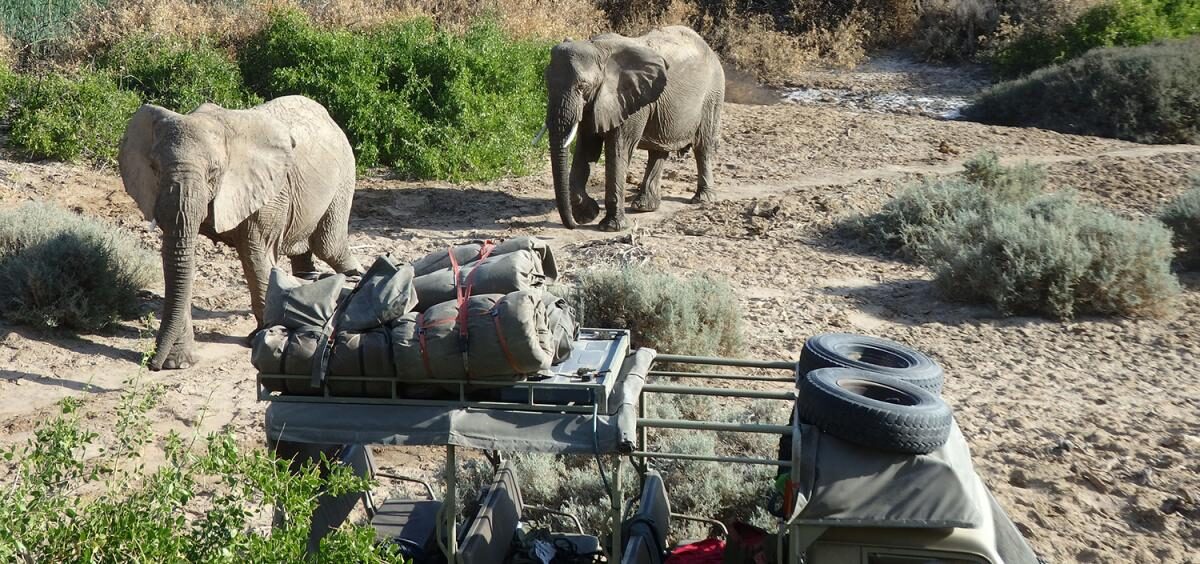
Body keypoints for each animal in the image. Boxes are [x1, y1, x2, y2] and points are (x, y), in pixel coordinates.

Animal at [117, 95, 362, 372]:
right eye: (154, 167)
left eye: (214, 171)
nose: (152, 364)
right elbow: (181, 260)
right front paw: (177, 364)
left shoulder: (269, 193)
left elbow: (255, 254)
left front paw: (261, 338)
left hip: (344, 171)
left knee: (329, 245)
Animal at [542, 24, 720, 231]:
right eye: (547, 83)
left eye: (582, 86)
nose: (572, 225)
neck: (598, 49)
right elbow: (587, 148)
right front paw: (588, 215)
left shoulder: (629, 99)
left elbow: (618, 149)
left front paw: (611, 227)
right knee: (658, 150)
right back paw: (644, 206)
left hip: (712, 96)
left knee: (702, 146)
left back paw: (702, 199)